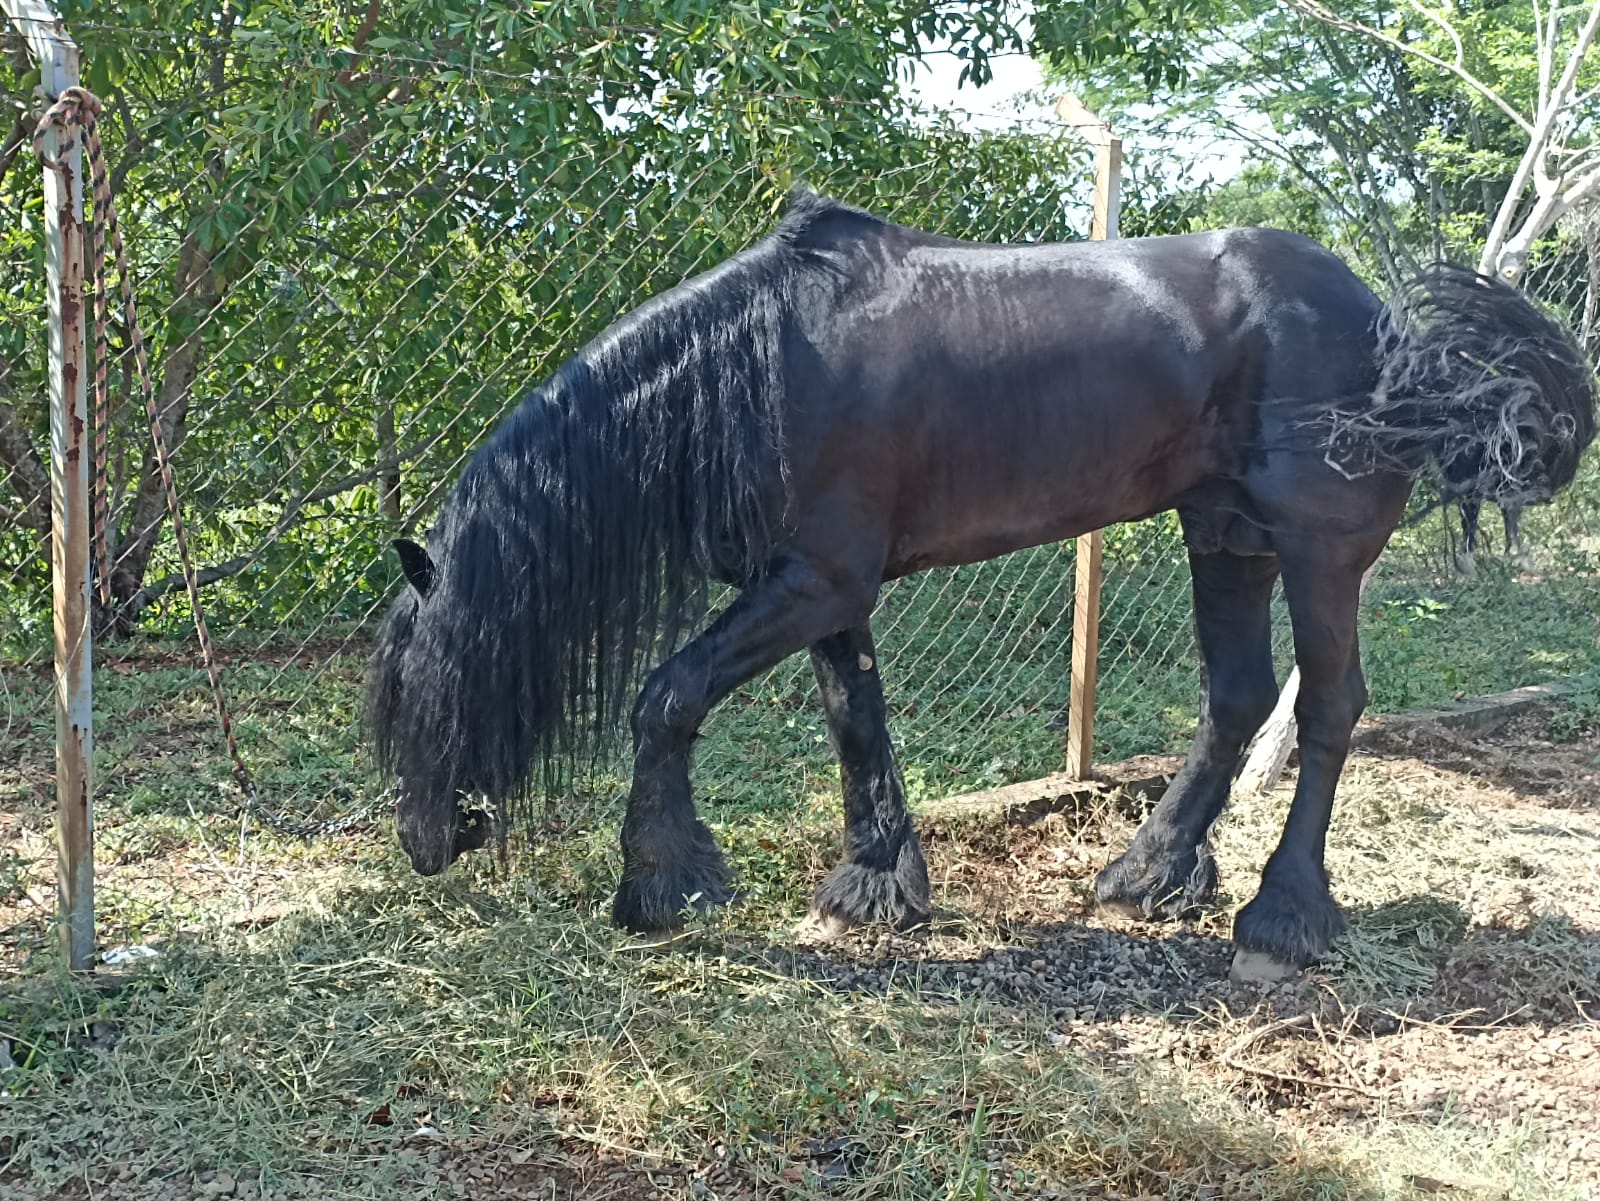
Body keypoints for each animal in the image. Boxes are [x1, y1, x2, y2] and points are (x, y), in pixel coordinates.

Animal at [366, 188, 1596, 979]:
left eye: (425, 688)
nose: (422, 846)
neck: (757, 370)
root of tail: (1391, 333)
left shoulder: (812, 582)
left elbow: (665, 697)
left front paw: (663, 881)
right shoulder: (829, 590)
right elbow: (853, 720)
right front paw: (878, 884)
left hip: (1316, 549)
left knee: (1328, 707)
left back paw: (1283, 916)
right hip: (1226, 537)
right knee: (1237, 698)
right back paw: (1148, 871)